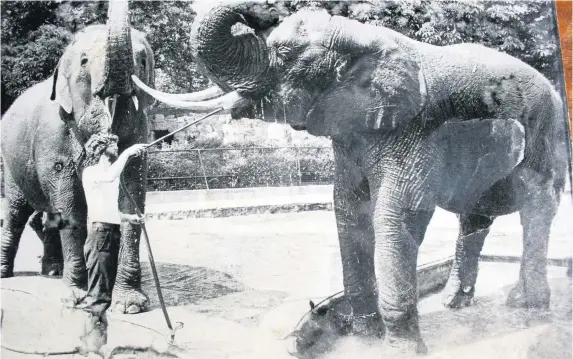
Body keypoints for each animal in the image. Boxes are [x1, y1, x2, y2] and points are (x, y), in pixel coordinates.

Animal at [1, 0, 156, 316]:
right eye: (84, 61)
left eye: (143, 61)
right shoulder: (54, 137)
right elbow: (71, 208)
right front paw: (77, 298)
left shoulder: (141, 129)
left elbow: (130, 196)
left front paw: (130, 305)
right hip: (11, 166)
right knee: (16, 213)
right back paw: (7, 273)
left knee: (46, 216)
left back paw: (52, 271)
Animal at [131, 2, 572, 358]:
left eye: (284, 53)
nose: (258, 12)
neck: (364, 39)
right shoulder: (352, 135)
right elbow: (348, 211)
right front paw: (366, 337)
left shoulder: (414, 129)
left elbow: (397, 216)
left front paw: (401, 350)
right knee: (475, 218)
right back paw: (454, 304)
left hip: (546, 130)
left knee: (535, 208)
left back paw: (527, 306)